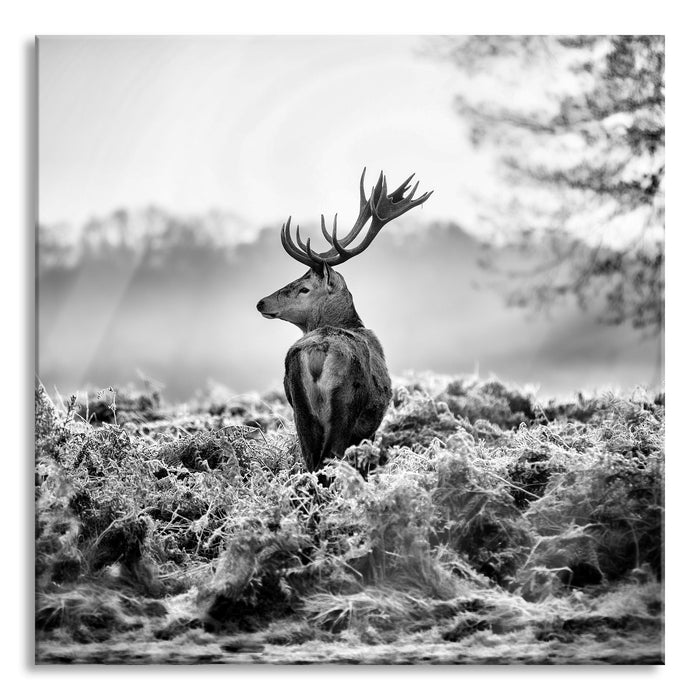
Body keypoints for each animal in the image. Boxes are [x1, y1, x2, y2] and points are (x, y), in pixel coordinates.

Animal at [256, 169, 432, 479]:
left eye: (303, 288)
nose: (261, 303)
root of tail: (318, 352)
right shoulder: (368, 428)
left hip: (300, 410)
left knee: (311, 462)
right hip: (345, 407)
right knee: (330, 461)